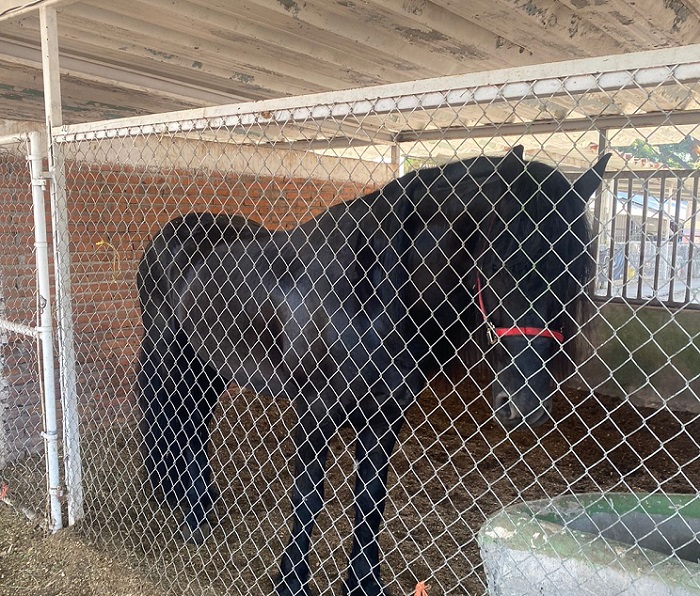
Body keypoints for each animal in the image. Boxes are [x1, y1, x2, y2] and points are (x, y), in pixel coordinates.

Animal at [137, 146, 608, 596]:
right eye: (496, 260)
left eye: (575, 271)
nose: (524, 401)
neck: (375, 289)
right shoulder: (316, 408)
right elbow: (308, 495)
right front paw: (292, 582)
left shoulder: (386, 411)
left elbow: (370, 499)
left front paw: (363, 583)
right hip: (170, 351)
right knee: (172, 411)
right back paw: (185, 507)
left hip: (208, 361)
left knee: (195, 418)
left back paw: (196, 505)